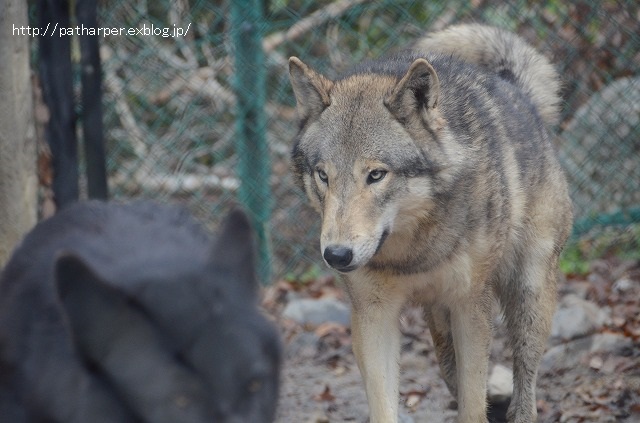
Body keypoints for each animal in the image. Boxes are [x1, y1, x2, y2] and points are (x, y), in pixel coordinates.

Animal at [288, 24, 572, 423]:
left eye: (376, 175)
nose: (337, 256)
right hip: (439, 323)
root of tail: (514, 87)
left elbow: (473, 405)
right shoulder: (373, 313)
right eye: (323, 175)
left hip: (529, 297)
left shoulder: (471, 305)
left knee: (525, 383)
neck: (413, 251)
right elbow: (385, 406)